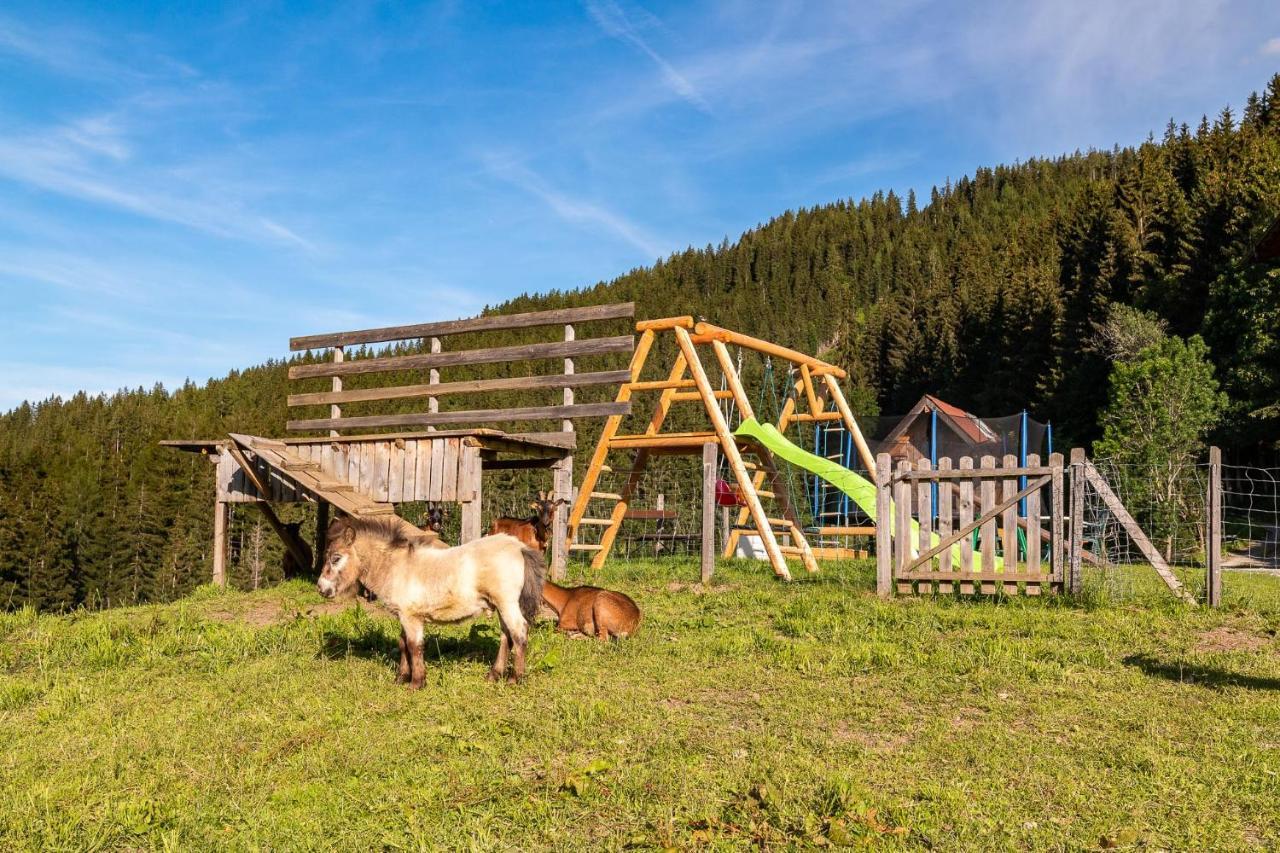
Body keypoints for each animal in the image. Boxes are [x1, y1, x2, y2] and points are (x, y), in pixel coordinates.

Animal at [318, 512, 545, 686]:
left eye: (336, 558)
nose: (321, 588)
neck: (397, 567)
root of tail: (519, 548)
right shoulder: (404, 616)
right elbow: (403, 643)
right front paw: (401, 678)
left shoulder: (411, 617)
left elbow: (414, 646)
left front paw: (417, 683)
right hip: (500, 606)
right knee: (506, 636)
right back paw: (494, 675)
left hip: (507, 604)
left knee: (519, 633)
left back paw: (515, 679)